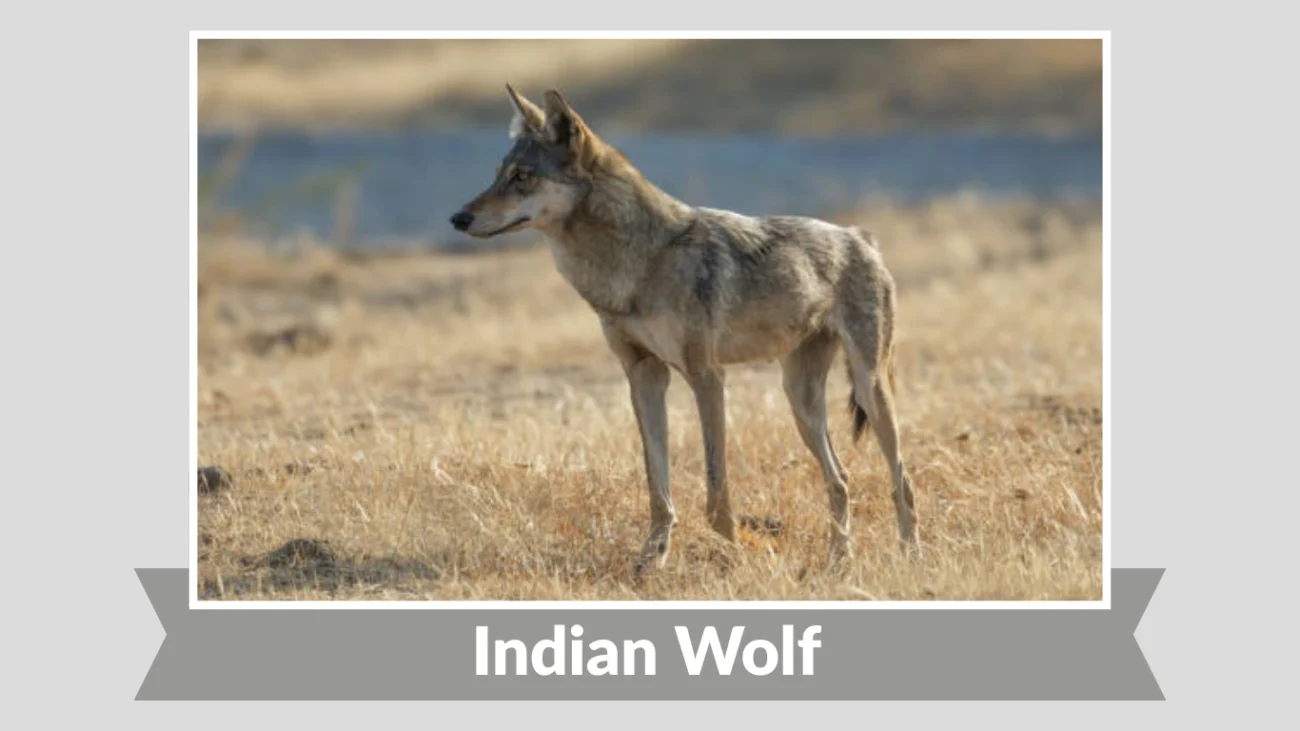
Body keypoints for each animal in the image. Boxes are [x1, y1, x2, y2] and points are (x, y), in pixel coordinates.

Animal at [451, 85, 918, 573]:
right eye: (498, 176)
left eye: (522, 176)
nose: (457, 218)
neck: (639, 263)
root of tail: (861, 236)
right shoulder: (644, 376)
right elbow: (657, 483)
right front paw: (652, 557)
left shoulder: (707, 377)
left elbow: (717, 486)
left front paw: (731, 556)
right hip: (800, 400)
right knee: (841, 479)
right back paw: (838, 562)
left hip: (869, 388)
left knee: (902, 480)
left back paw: (910, 555)